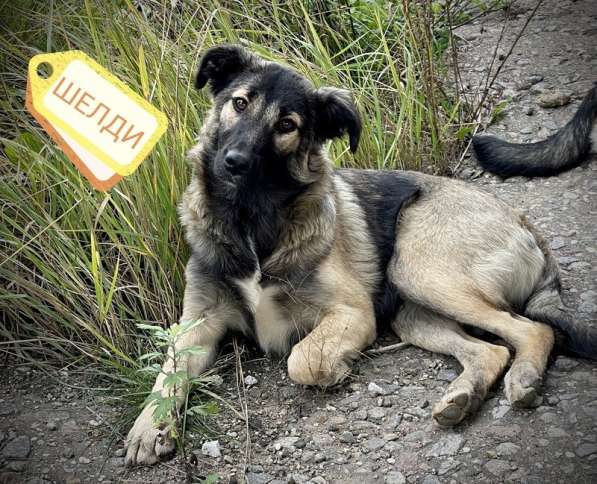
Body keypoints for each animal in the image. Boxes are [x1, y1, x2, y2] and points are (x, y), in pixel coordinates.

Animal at [123, 45, 592, 466]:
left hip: (420, 266)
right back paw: (463, 397)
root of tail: (521, 219)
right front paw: (148, 428)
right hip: (412, 313)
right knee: (491, 351)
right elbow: (166, 377)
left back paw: (524, 378)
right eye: (239, 103)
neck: (251, 220)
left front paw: (336, 366)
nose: (233, 162)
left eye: (287, 125)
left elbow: (302, 359)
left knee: (534, 330)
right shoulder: (196, 326)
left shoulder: (352, 313)